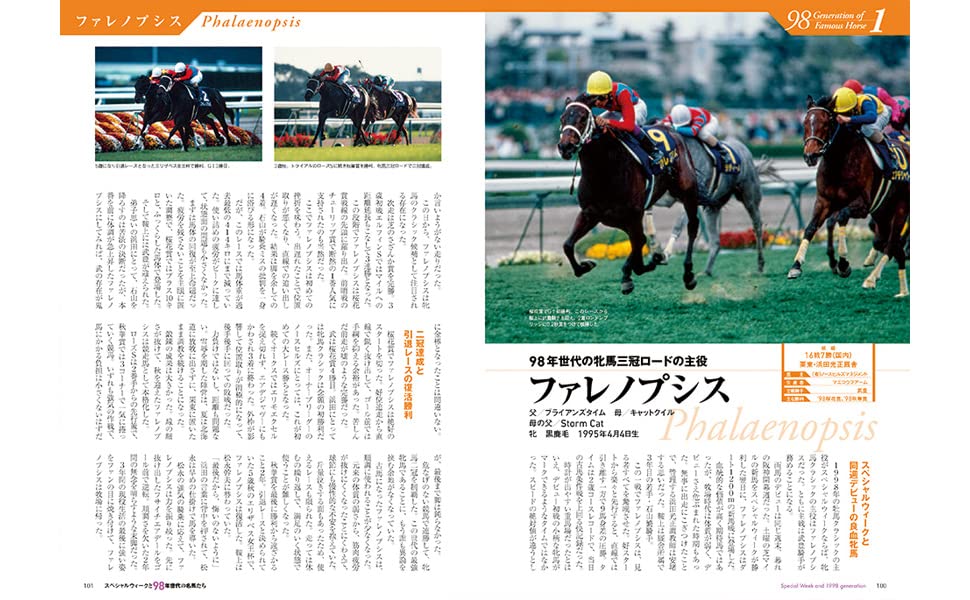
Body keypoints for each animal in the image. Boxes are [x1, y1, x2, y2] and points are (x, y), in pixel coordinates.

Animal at [557, 95, 705, 295]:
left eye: (582, 118)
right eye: (562, 118)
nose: (565, 146)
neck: (603, 171)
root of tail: (670, 130)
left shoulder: (633, 215)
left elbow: (638, 250)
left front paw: (638, 269)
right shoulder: (590, 213)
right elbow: (567, 245)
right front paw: (586, 265)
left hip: (688, 193)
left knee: (692, 227)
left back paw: (688, 274)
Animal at [655, 136, 769, 276]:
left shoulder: (690, 197)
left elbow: (678, 225)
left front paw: (665, 254)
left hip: (750, 198)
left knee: (757, 226)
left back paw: (760, 265)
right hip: (712, 208)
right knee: (715, 241)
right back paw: (706, 271)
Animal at [793, 95, 910, 297]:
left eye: (826, 123)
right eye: (805, 123)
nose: (810, 155)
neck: (839, 161)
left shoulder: (862, 205)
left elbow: (842, 216)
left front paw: (843, 264)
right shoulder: (824, 201)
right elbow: (811, 228)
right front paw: (796, 265)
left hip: (901, 208)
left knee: (892, 244)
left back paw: (871, 279)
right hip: (883, 212)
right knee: (893, 246)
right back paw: (902, 291)